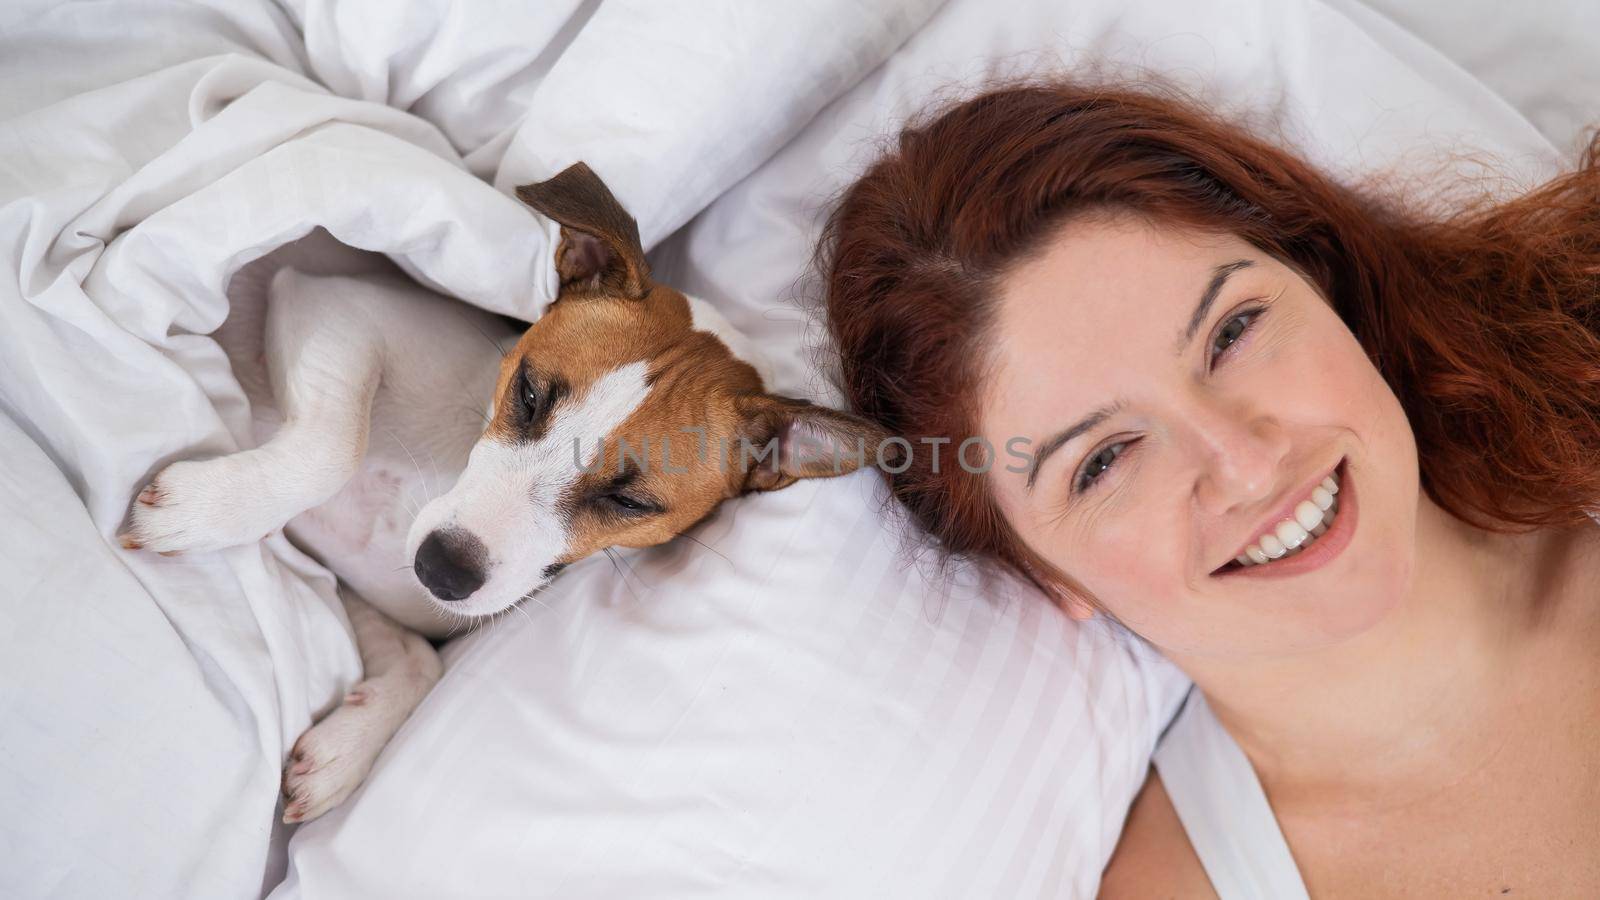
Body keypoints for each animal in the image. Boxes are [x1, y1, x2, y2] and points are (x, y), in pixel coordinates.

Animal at [118, 164, 883, 826]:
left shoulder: (371, 591)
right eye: (529, 393)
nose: (441, 570)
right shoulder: (327, 302)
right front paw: (202, 512)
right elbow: (334, 449)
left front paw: (347, 748)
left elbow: (421, 662)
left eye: (631, 503)